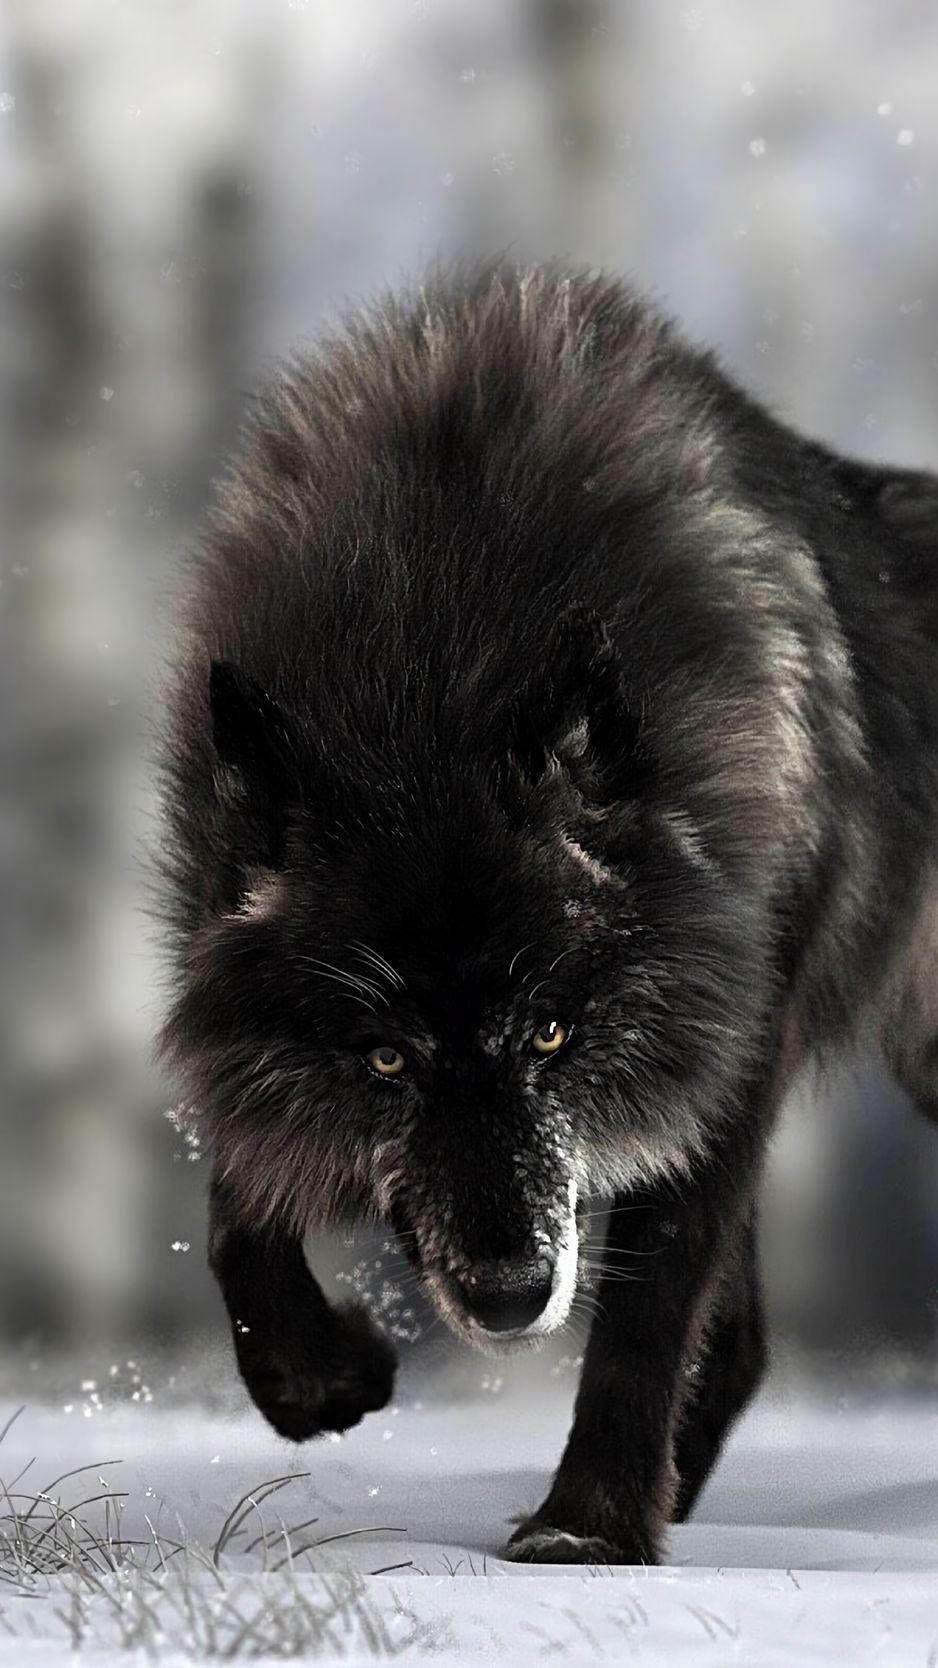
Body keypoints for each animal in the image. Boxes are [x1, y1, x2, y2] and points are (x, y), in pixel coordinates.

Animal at [156, 264, 938, 1564]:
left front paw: (586, 1535)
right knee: (741, 1347)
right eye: (385, 1059)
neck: (432, 644)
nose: (511, 1297)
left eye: (549, 1033)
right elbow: (238, 1203)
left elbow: (643, 1315)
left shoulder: (725, 1055)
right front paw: (319, 1377)